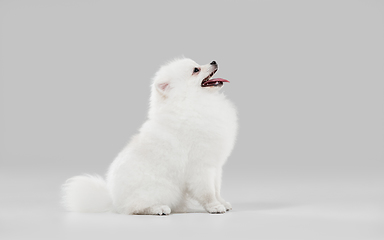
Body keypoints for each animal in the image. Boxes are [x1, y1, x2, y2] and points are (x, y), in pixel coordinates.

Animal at [62, 58, 237, 216]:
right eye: (196, 70)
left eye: (198, 64)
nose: (213, 61)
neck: (192, 102)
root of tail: (113, 200)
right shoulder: (200, 167)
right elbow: (207, 192)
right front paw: (214, 206)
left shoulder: (215, 166)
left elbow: (216, 189)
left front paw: (222, 202)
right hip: (162, 189)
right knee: (135, 208)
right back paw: (159, 208)